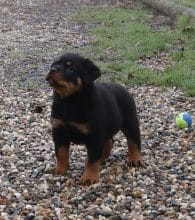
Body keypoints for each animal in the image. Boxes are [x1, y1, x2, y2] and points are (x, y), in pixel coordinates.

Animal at [46, 52, 142, 184]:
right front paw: (60, 170)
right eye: (55, 64)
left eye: (70, 68)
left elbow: (91, 160)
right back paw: (102, 158)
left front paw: (88, 177)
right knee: (109, 141)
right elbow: (61, 154)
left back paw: (135, 159)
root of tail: (123, 88)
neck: (69, 101)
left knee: (133, 142)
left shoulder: (94, 136)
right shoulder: (59, 131)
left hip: (130, 122)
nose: (52, 69)